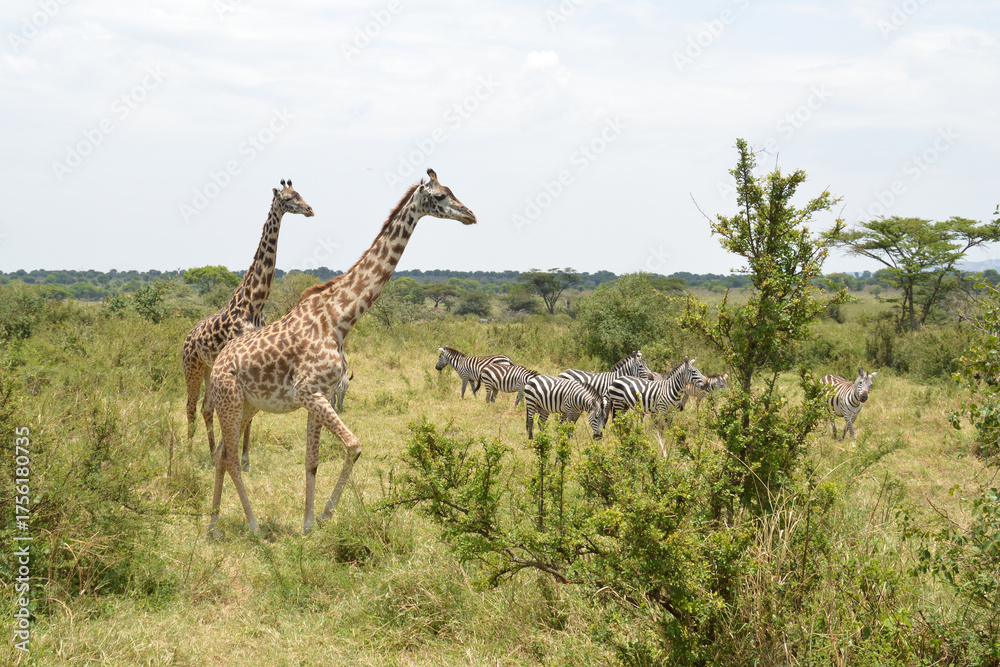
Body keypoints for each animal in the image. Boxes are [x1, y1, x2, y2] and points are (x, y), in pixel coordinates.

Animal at [182, 179, 314, 471]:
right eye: (288, 198)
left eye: (300, 193)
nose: (310, 209)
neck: (255, 303)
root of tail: (188, 336)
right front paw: (235, 458)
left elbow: (250, 415)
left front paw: (245, 460)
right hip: (192, 366)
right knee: (190, 406)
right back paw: (187, 452)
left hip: (209, 368)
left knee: (206, 407)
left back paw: (210, 453)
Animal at [208, 168, 476, 535]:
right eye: (439, 196)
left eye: (452, 191)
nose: (470, 215)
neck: (342, 318)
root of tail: (216, 365)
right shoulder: (309, 391)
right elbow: (354, 445)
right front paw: (324, 514)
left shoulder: (317, 393)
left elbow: (312, 461)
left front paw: (308, 523)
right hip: (231, 402)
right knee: (232, 457)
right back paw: (253, 525)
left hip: (246, 406)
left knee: (222, 454)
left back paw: (213, 525)